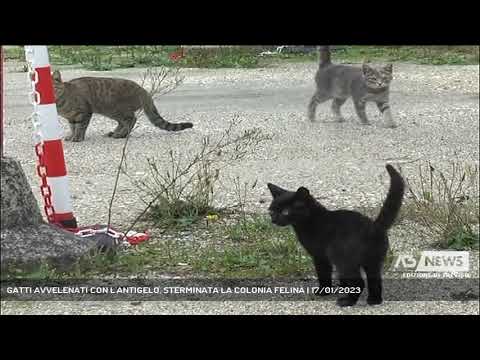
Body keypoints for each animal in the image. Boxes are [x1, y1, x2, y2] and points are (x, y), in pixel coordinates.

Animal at [51, 70, 192, 142]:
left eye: (53, 86)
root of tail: (143, 90)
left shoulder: (84, 113)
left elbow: (80, 127)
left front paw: (77, 138)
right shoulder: (72, 118)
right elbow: (73, 127)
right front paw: (71, 136)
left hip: (116, 109)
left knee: (131, 119)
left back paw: (121, 135)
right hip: (111, 111)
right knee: (123, 122)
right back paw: (115, 132)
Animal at [266, 165, 404, 306]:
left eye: (285, 212)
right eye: (272, 211)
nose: (274, 219)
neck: (311, 219)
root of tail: (373, 227)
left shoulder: (319, 256)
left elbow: (323, 274)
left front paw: (323, 291)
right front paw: (342, 287)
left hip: (342, 257)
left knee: (359, 282)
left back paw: (347, 301)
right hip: (374, 260)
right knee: (375, 279)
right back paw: (374, 300)